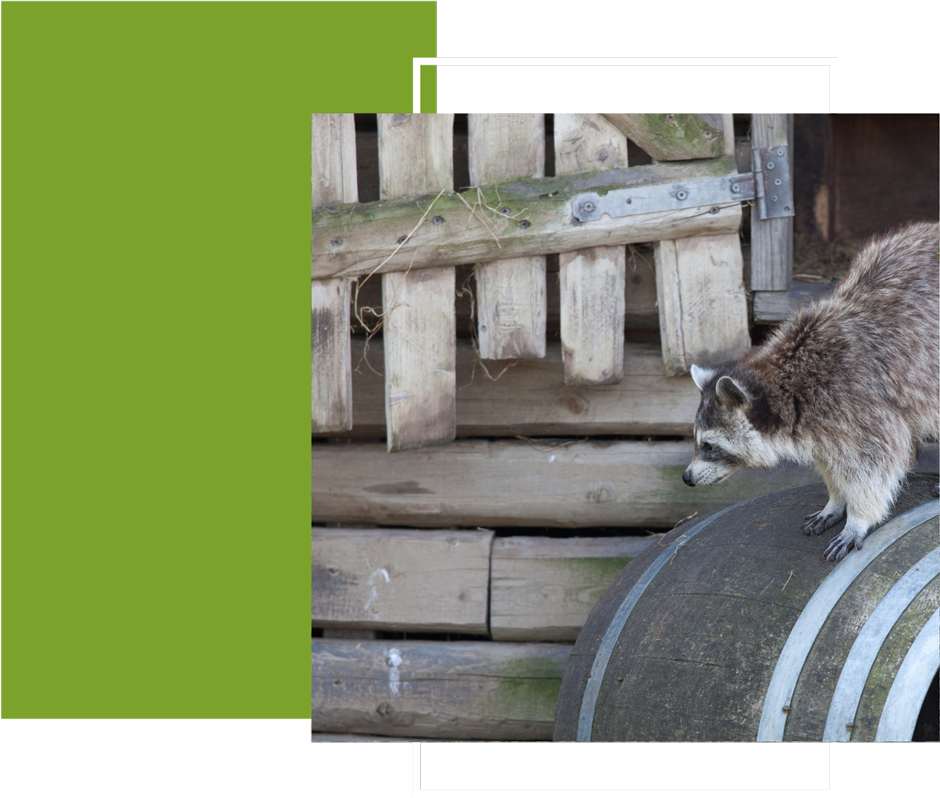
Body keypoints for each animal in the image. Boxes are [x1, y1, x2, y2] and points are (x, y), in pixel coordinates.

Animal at [683, 221, 939, 562]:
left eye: (709, 445)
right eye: (697, 441)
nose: (686, 477)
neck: (787, 384)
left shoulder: (858, 402)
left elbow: (876, 463)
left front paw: (859, 516)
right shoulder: (823, 425)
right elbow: (833, 463)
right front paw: (836, 498)